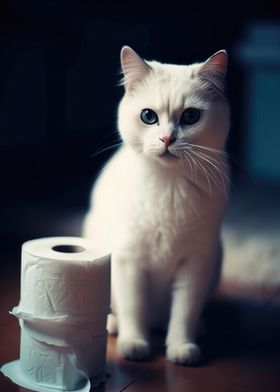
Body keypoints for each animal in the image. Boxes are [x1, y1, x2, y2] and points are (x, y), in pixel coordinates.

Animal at [83, 46, 230, 364]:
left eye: (190, 116)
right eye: (148, 116)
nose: (167, 138)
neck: (170, 187)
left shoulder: (196, 262)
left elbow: (184, 312)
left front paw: (181, 348)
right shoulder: (129, 261)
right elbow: (134, 308)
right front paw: (134, 345)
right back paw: (115, 326)